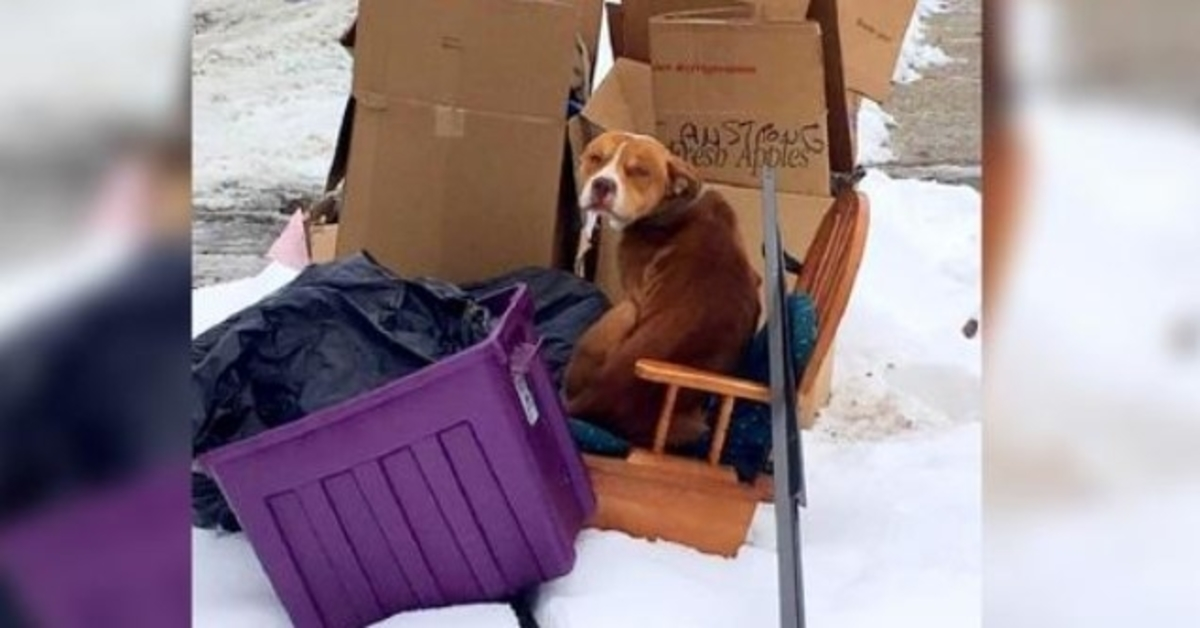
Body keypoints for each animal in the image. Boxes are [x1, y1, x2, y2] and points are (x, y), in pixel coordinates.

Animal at [564, 131, 758, 446]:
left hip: (623, 312)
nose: (602, 184)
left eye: (640, 172)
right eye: (596, 157)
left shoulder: (633, 293)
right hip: (694, 426)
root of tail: (594, 398)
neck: (673, 205)